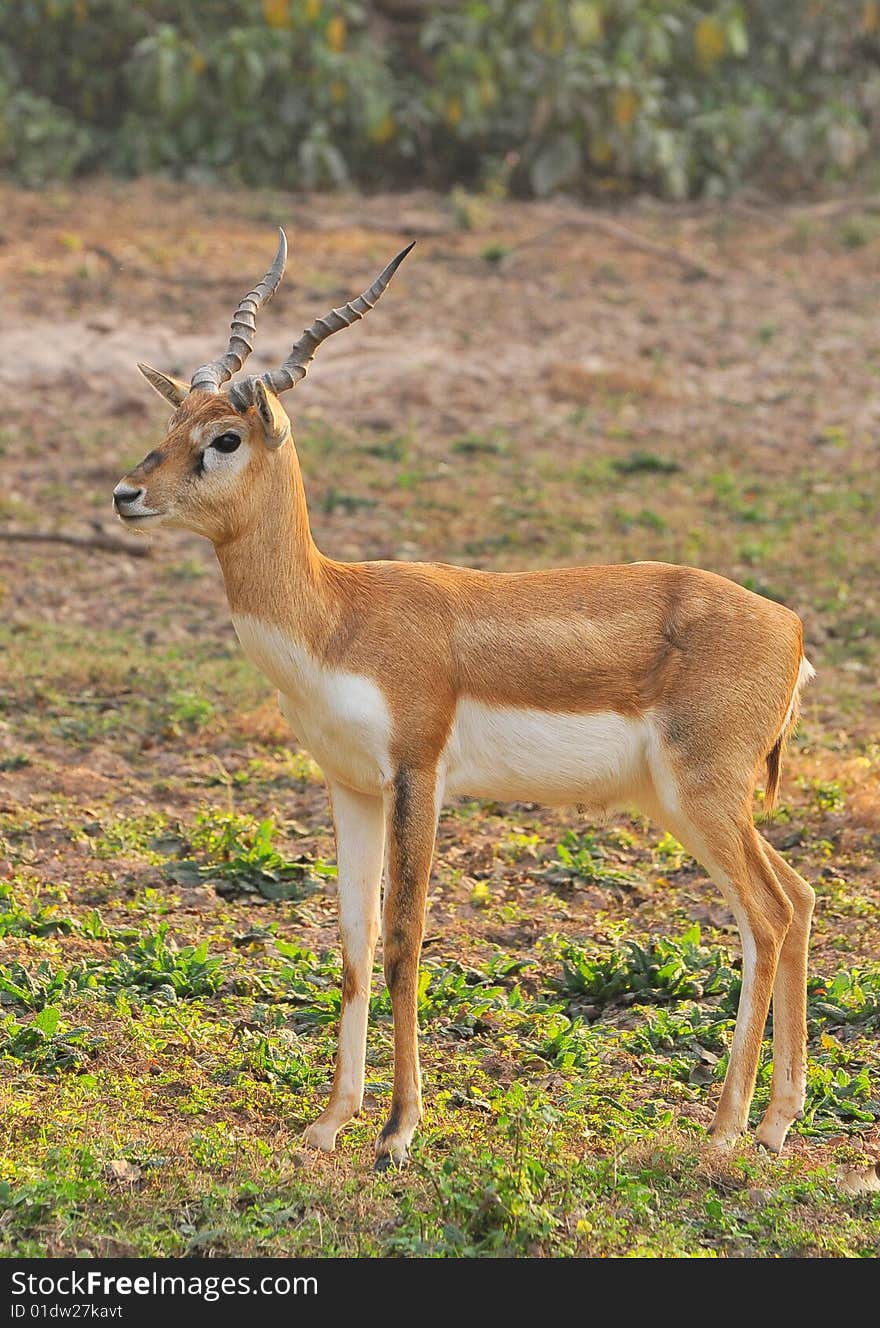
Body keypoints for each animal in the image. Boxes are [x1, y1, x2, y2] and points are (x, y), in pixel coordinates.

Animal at [113, 233, 817, 1168]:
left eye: (224, 438)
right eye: (171, 426)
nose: (127, 494)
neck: (338, 615)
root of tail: (790, 627)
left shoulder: (418, 773)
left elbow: (405, 941)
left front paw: (397, 1131)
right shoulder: (350, 787)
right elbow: (353, 945)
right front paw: (330, 1122)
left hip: (701, 796)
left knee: (766, 917)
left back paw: (725, 1131)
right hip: (690, 803)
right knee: (794, 901)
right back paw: (776, 1122)